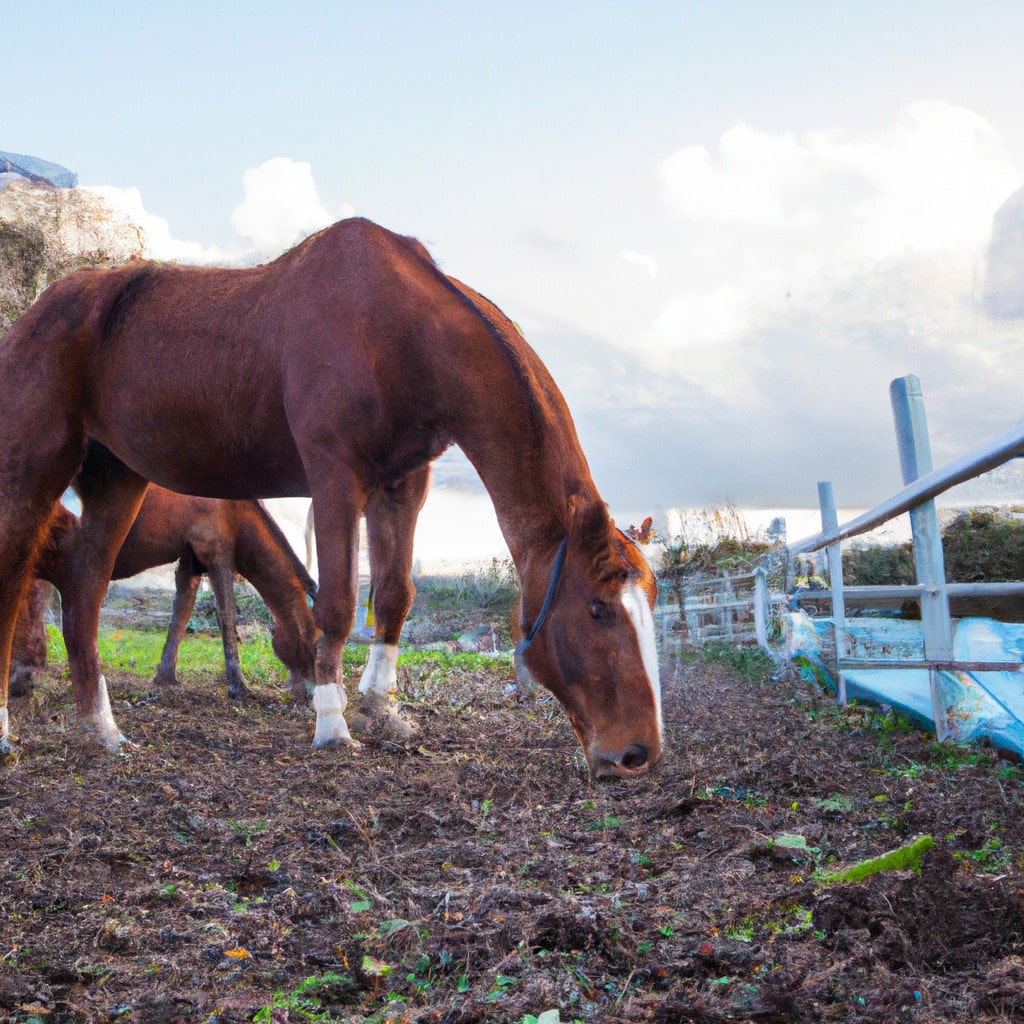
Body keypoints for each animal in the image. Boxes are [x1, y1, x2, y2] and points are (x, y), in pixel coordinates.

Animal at [11, 479, 315, 704]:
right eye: (313, 641)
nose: (313, 690)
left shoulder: (190, 559)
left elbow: (181, 613)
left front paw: (165, 674)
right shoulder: (215, 548)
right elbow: (226, 616)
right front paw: (238, 686)